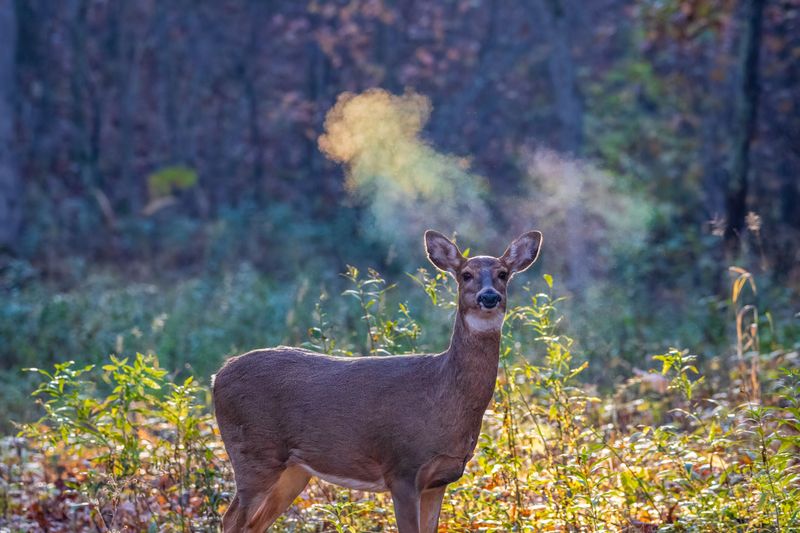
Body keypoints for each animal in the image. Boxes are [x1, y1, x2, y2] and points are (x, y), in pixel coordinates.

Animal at [212, 229, 542, 532]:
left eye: (503, 274)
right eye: (466, 275)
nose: (489, 297)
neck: (441, 393)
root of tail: (218, 375)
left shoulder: (440, 478)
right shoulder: (402, 469)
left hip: (293, 470)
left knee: (252, 524)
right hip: (253, 453)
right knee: (231, 519)